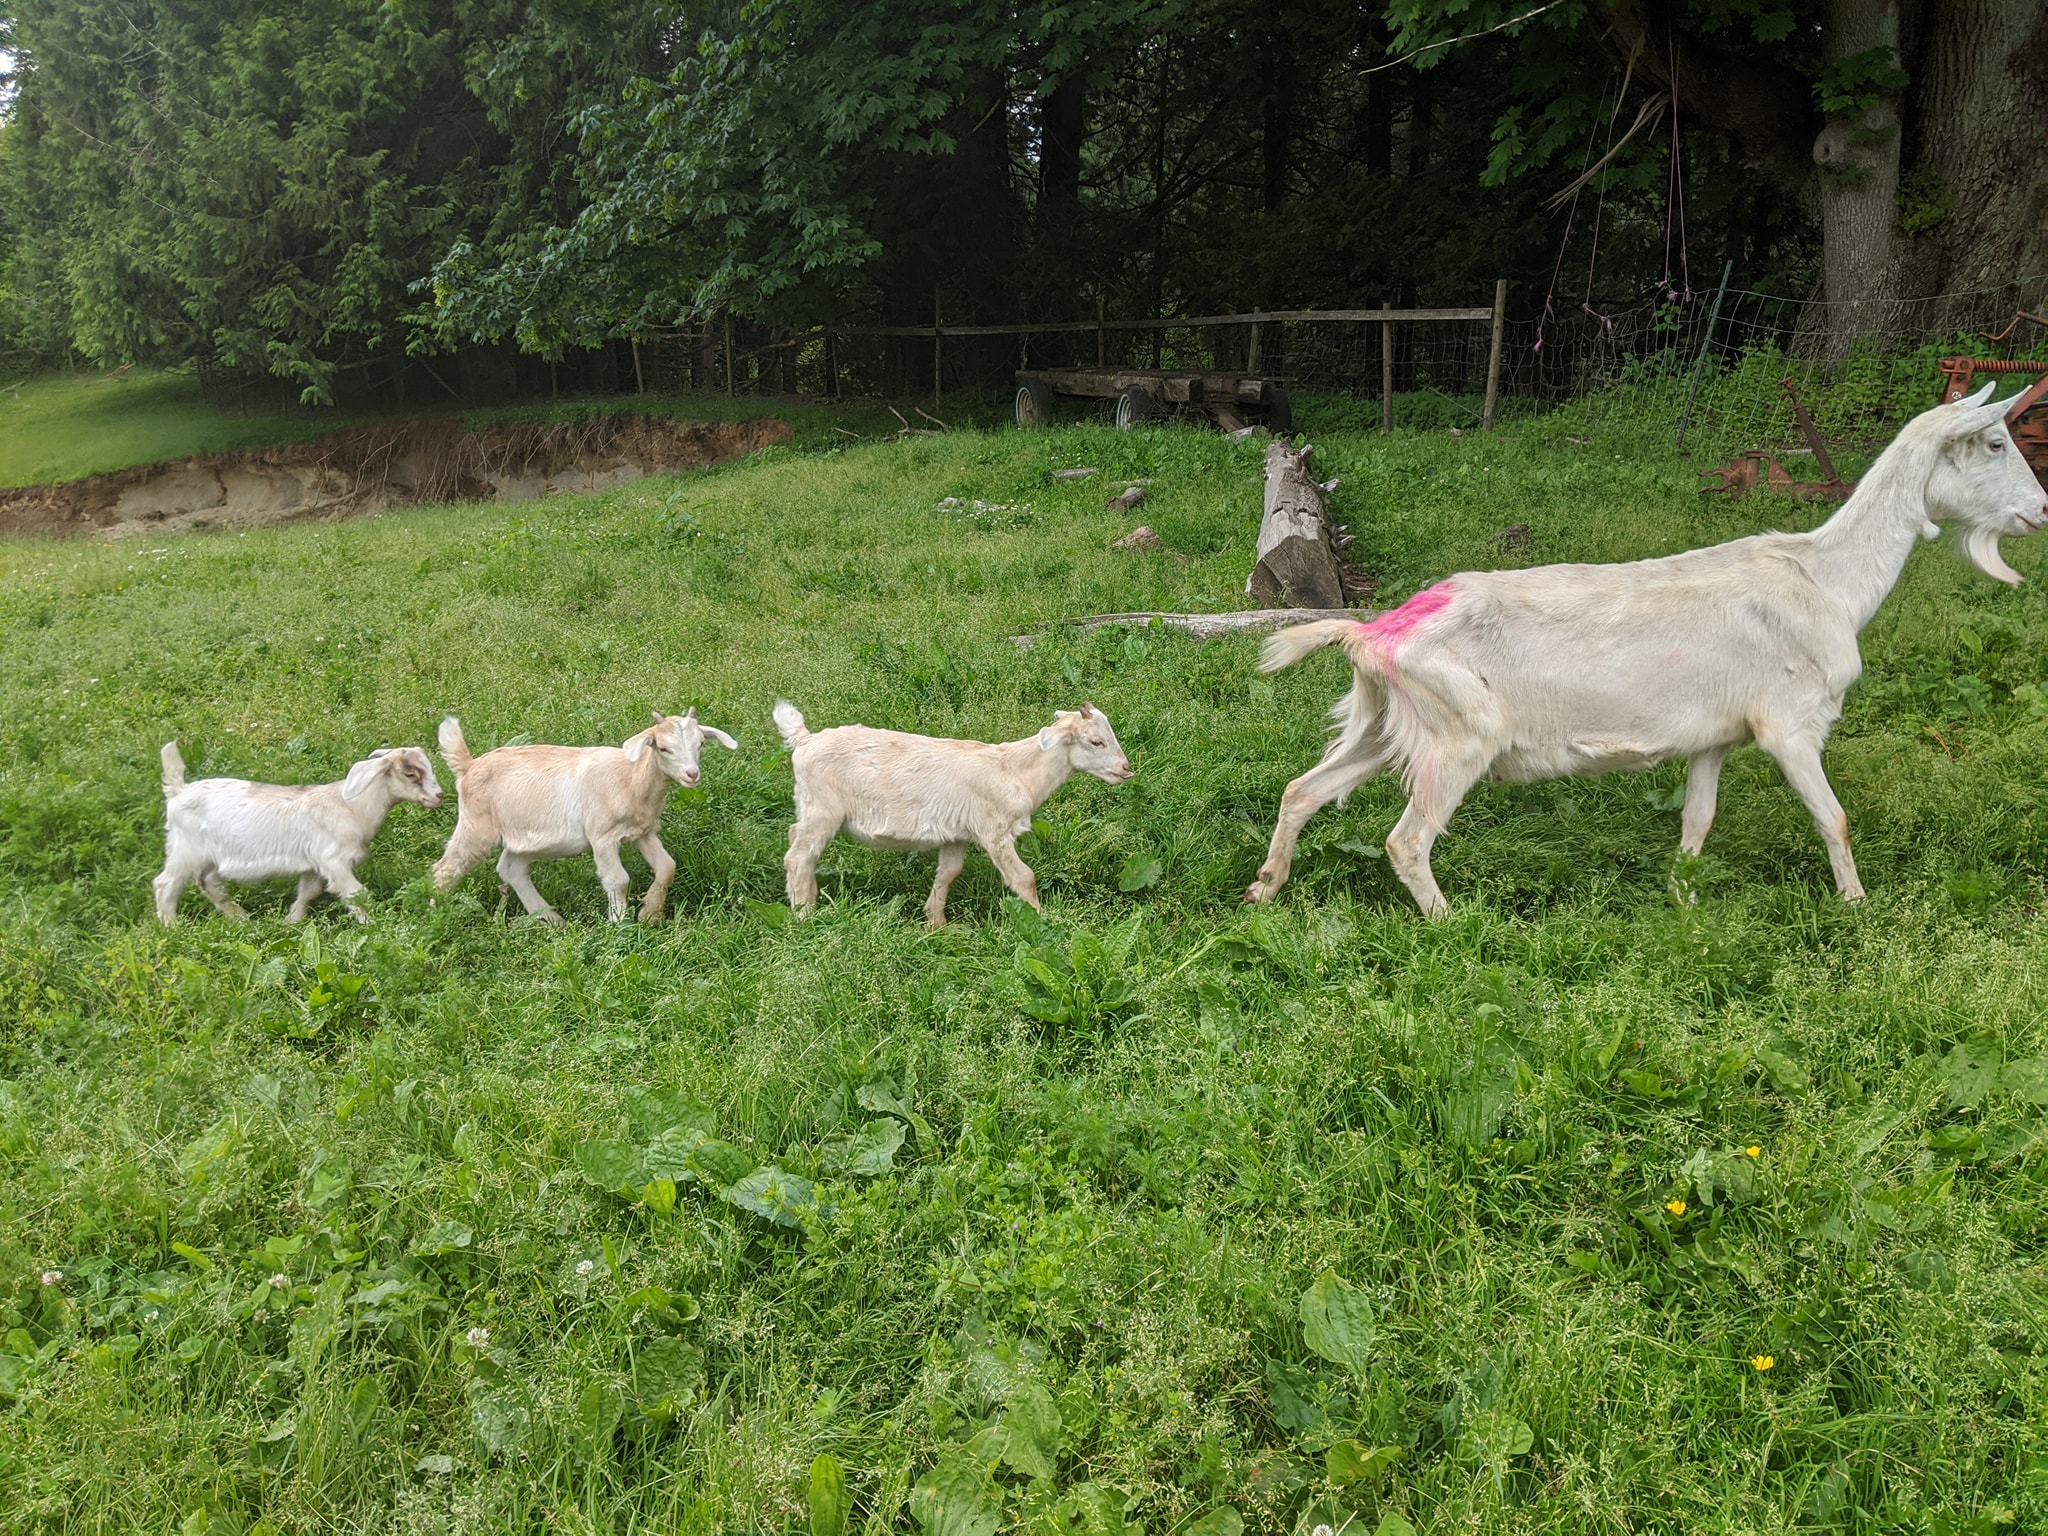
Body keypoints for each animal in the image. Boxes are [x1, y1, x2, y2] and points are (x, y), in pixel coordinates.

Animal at [153, 743, 443, 924]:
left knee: (210, 885)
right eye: (410, 773)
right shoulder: (333, 860)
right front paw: (373, 923)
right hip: (186, 850)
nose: (438, 795)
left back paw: (241, 919)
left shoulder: (313, 864)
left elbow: (308, 892)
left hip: (207, 857)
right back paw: (171, 927)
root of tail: (178, 791)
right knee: (165, 884)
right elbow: (356, 893)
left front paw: (291, 921)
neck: (351, 806)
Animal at [432, 710, 737, 924]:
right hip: (476, 826)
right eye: (663, 748)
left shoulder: (643, 831)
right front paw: (619, 925)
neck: (630, 777)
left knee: (511, 868)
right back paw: (438, 916)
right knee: (445, 869)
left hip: (524, 837)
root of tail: (468, 766)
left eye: (701, 744)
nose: (692, 774)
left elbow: (667, 867)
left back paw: (551, 920)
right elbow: (618, 879)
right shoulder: (602, 836)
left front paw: (648, 914)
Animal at [774, 701, 1133, 925]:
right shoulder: (994, 831)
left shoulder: (957, 835)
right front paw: (1042, 921)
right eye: (1096, 741)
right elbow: (1023, 877)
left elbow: (949, 873)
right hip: (823, 809)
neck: (1013, 771)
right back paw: (803, 914)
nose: (1126, 770)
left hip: (811, 807)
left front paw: (936, 923)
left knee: (798, 842)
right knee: (798, 857)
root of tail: (804, 740)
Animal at [1245, 385, 2048, 916]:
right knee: (1406, 840)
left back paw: (1264, 887)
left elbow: (1697, 820)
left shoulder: (1713, 736)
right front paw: (1855, 907)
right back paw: (1451, 922)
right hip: (1457, 736)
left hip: (1383, 724)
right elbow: (1835, 818)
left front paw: (1682, 897)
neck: (1826, 579)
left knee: (1301, 790)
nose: (2040, 510)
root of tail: (1376, 631)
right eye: (1996, 441)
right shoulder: (1791, 725)